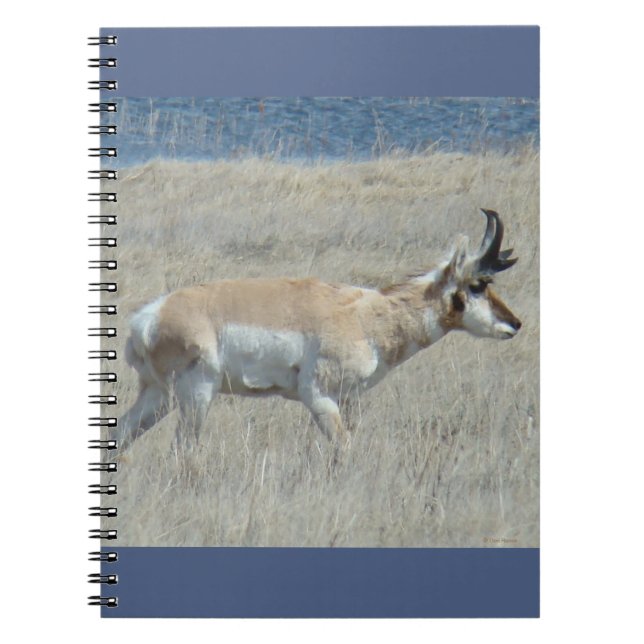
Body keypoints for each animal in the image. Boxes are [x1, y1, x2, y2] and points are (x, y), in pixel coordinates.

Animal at [116, 209, 521, 453]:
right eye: (478, 284)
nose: (515, 324)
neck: (367, 315)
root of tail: (149, 317)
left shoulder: (351, 399)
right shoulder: (319, 398)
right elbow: (343, 447)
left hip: (159, 396)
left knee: (120, 433)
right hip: (196, 395)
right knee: (182, 448)